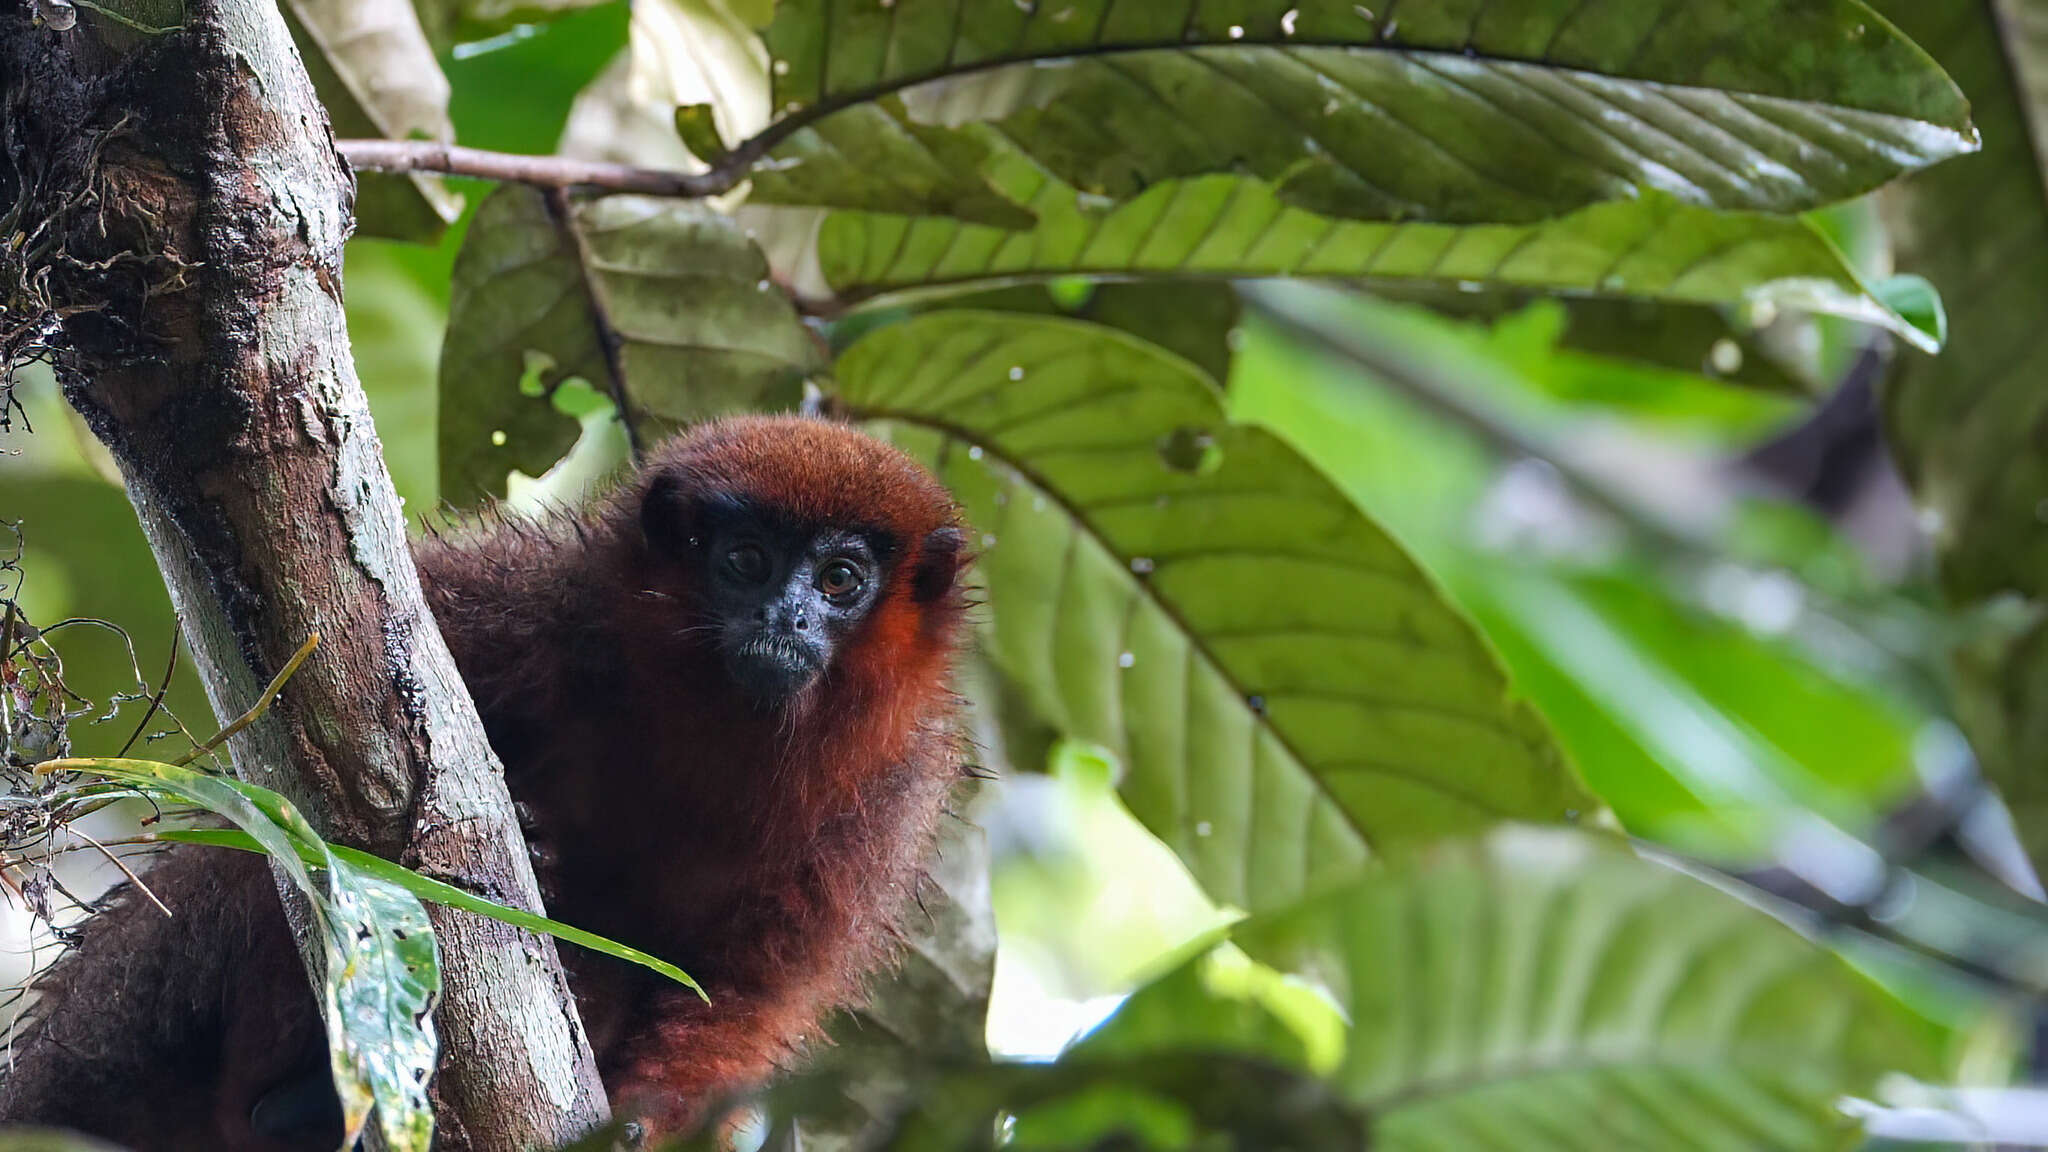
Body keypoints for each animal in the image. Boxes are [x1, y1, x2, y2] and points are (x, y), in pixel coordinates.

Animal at [0, 416, 974, 1139]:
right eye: (745, 562)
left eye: (841, 579)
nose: (788, 616)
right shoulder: (526, 605)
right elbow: (272, 742)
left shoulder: (885, 805)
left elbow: (749, 992)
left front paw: (640, 1122)